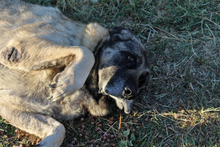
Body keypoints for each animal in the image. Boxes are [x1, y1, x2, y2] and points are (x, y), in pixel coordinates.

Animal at [0, 0, 150, 146]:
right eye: (130, 58)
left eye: (141, 80)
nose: (131, 93)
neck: (87, 89)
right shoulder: (24, 43)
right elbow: (86, 52)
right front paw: (66, 84)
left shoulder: (9, 107)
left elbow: (59, 128)